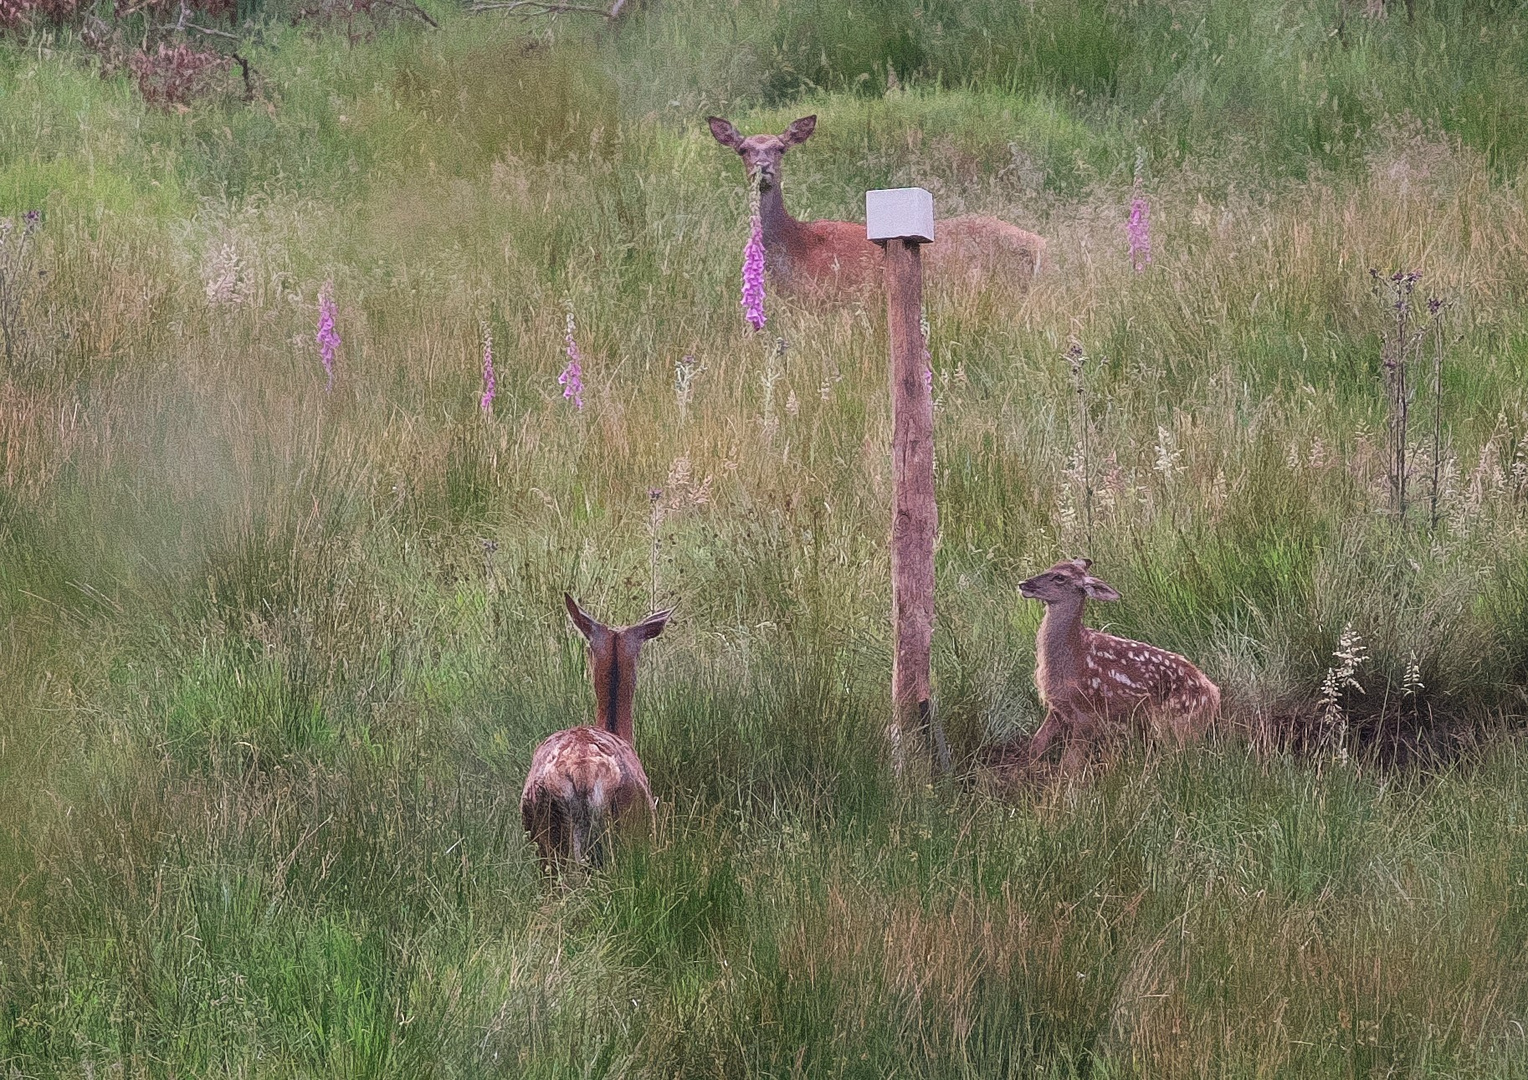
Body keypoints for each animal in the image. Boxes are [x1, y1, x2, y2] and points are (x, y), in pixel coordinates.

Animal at [1020, 559, 1222, 776]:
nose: (1024, 584)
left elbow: (1071, 764)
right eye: (1051, 566)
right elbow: (1036, 744)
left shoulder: (1088, 710)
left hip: (1180, 721)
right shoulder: (1058, 706)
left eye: (1060, 577)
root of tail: (1213, 692)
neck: (1073, 656)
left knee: (1184, 758)